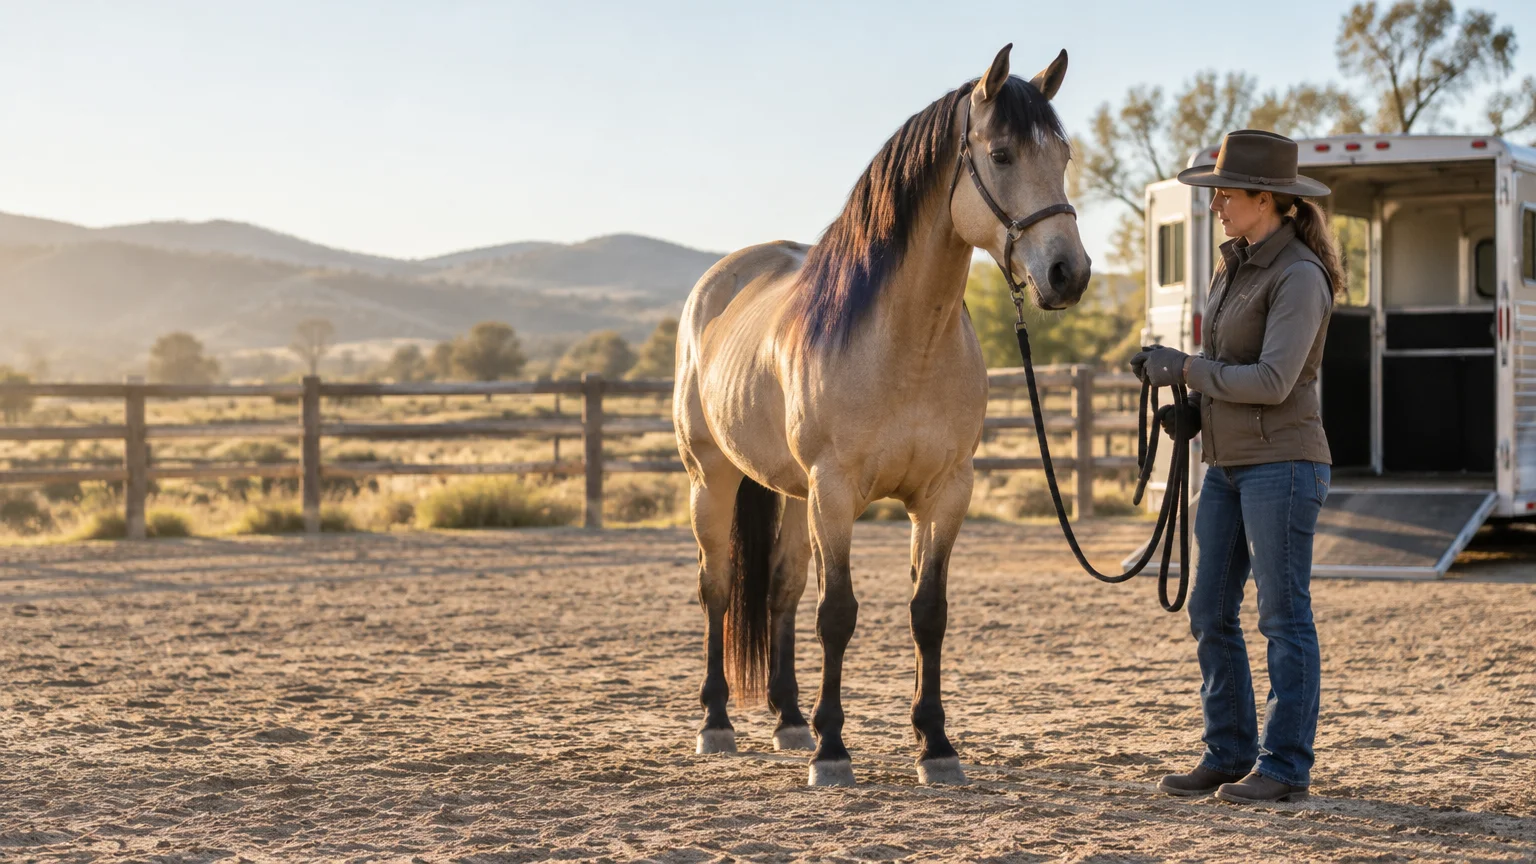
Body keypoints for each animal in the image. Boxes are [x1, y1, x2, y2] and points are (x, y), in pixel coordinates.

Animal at [673, 44, 1091, 787]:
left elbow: (929, 612)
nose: (1068, 273)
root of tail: (715, 287)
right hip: (712, 480)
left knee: (780, 591)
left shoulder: (945, 492)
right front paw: (832, 751)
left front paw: (936, 746)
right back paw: (717, 722)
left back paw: (787, 720)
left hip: (791, 493)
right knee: (717, 589)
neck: (903, 343)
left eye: (1063, 154)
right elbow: (838, 613)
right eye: (1003, 153)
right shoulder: (837, 493)